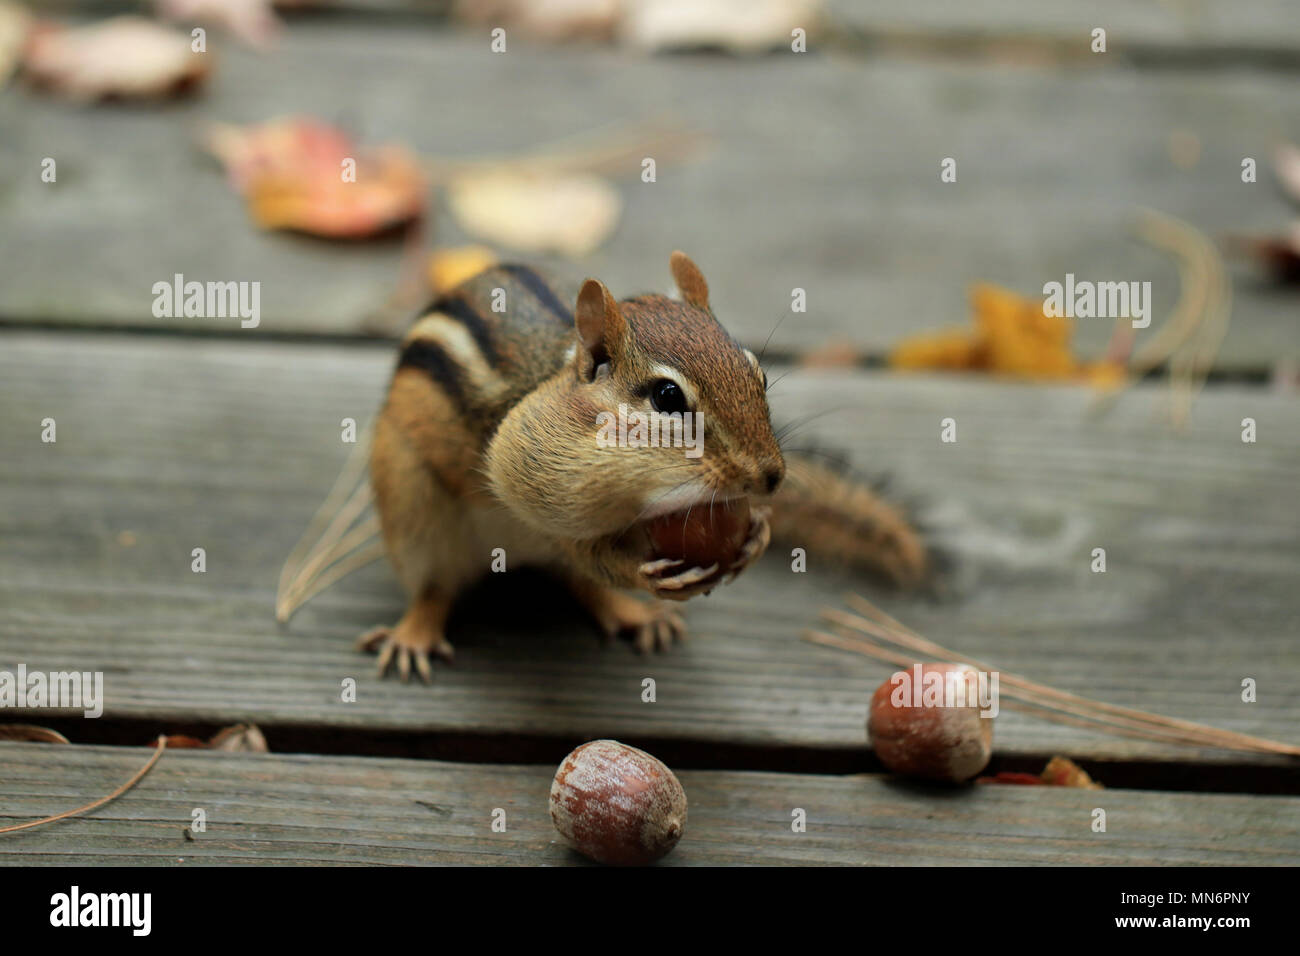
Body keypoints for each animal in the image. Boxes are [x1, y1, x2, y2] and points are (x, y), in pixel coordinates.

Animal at [358, 251, 929, 681]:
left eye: (759, 375)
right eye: (667, 397)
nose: (771, 477)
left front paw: (756, 537)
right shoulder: (523, 481)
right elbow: (576, 545)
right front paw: (641, 573)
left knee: (581, 585)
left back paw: (633, 614)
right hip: (414, 507)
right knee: (435, 586)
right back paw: (414, 635)